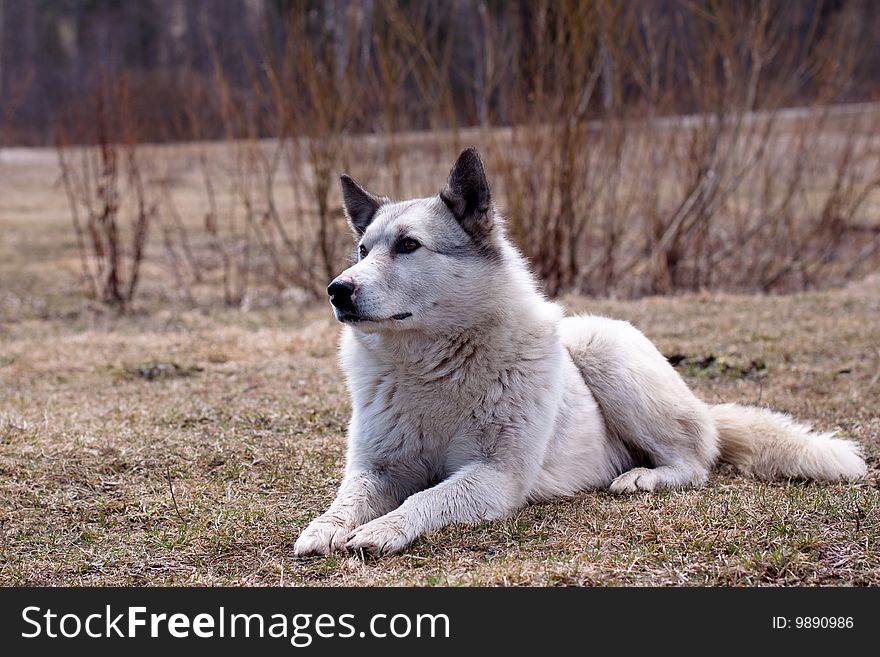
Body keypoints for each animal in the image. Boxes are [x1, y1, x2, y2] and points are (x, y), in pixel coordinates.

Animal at [294, 147, 868, 552]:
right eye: (363, 251)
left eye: (409, 245)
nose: (337, 290)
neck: (433, 365)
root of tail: (704, 408)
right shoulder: (377, 470)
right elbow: (349, 497)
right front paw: (326, 527)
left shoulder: (493, 478)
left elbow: (427, 496)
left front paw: (383, 529)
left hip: (604, 350)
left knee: (695, 462)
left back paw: (641, 477)